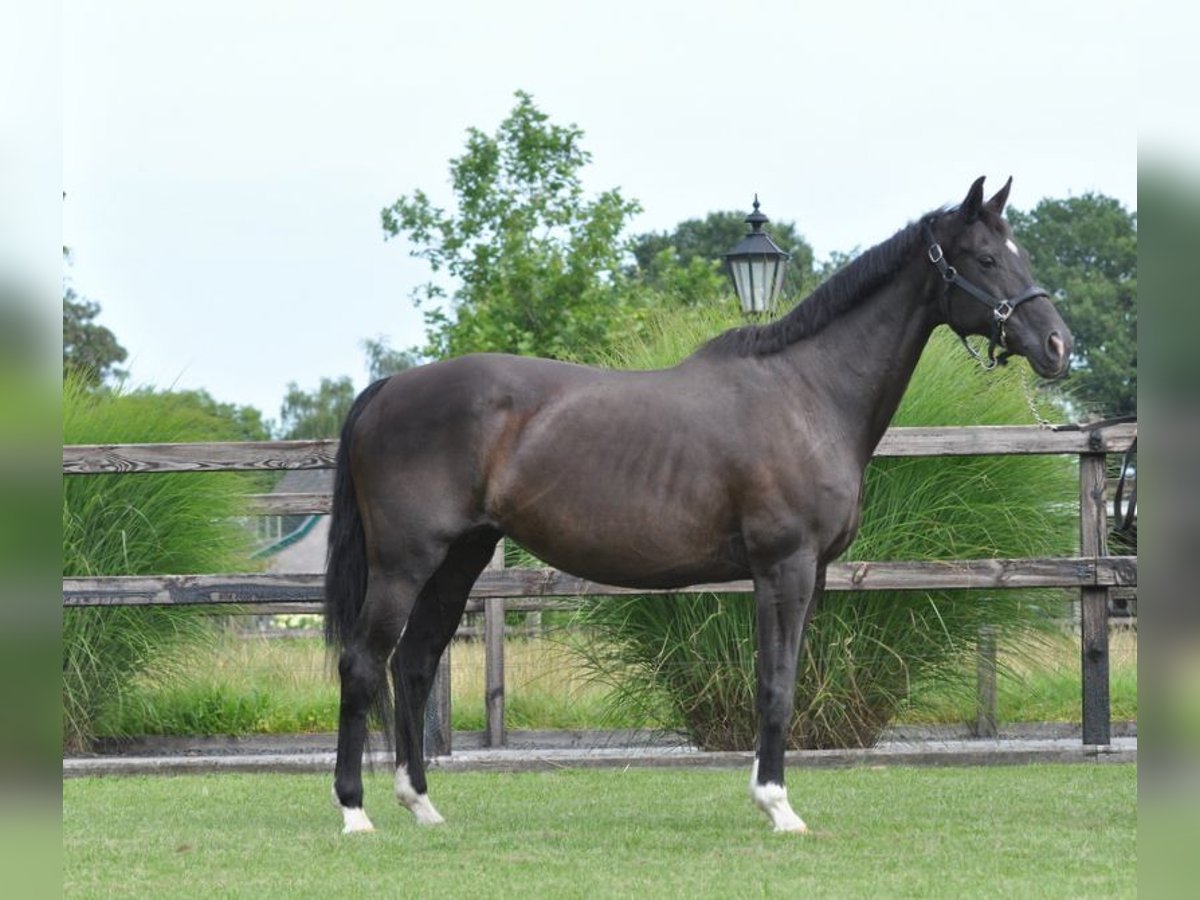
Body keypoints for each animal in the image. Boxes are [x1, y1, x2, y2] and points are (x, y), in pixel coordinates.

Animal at [324, 180, 1075, 835]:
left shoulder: (808, 574)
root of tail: (388, 388)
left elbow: (782, 678)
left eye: (1022, 254)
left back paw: (421, 805)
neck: (808, 393)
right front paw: (778, 807)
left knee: (413, 664)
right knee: (363, 662)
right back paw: (354, 811)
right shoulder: (783, 567)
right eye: (984, 258)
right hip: (404, 562)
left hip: (461, 558)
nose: (1057, 345)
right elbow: (776, 684)